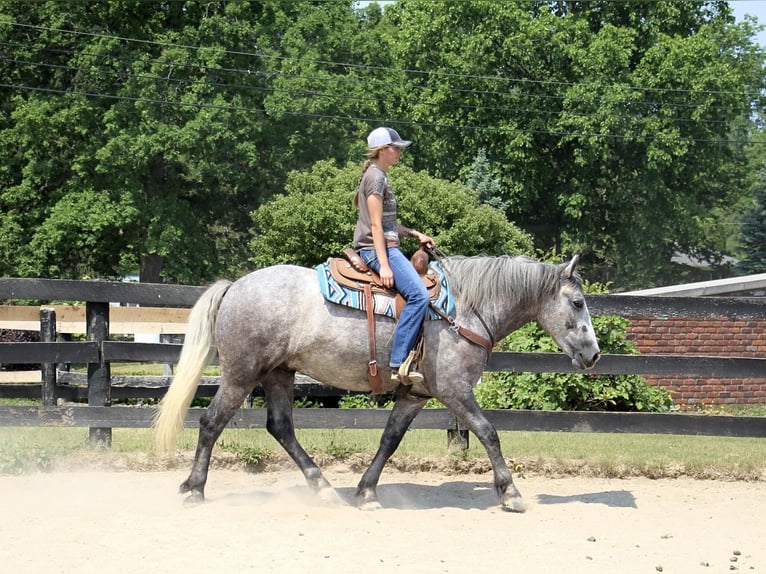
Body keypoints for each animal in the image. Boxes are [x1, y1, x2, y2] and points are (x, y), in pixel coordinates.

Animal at [154, 256, 600, 512]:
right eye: (578, 303)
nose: (594, 354)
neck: (464, 310)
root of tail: (235, 286)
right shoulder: (455, 390)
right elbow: (489, 432)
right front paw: (510, 493)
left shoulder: (416, 394)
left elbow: (390, 439)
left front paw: (366, 491)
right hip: (240, 375)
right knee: (211, 423)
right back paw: (194, 489)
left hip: (279, 374)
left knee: (280, 427)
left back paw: (323, 488)